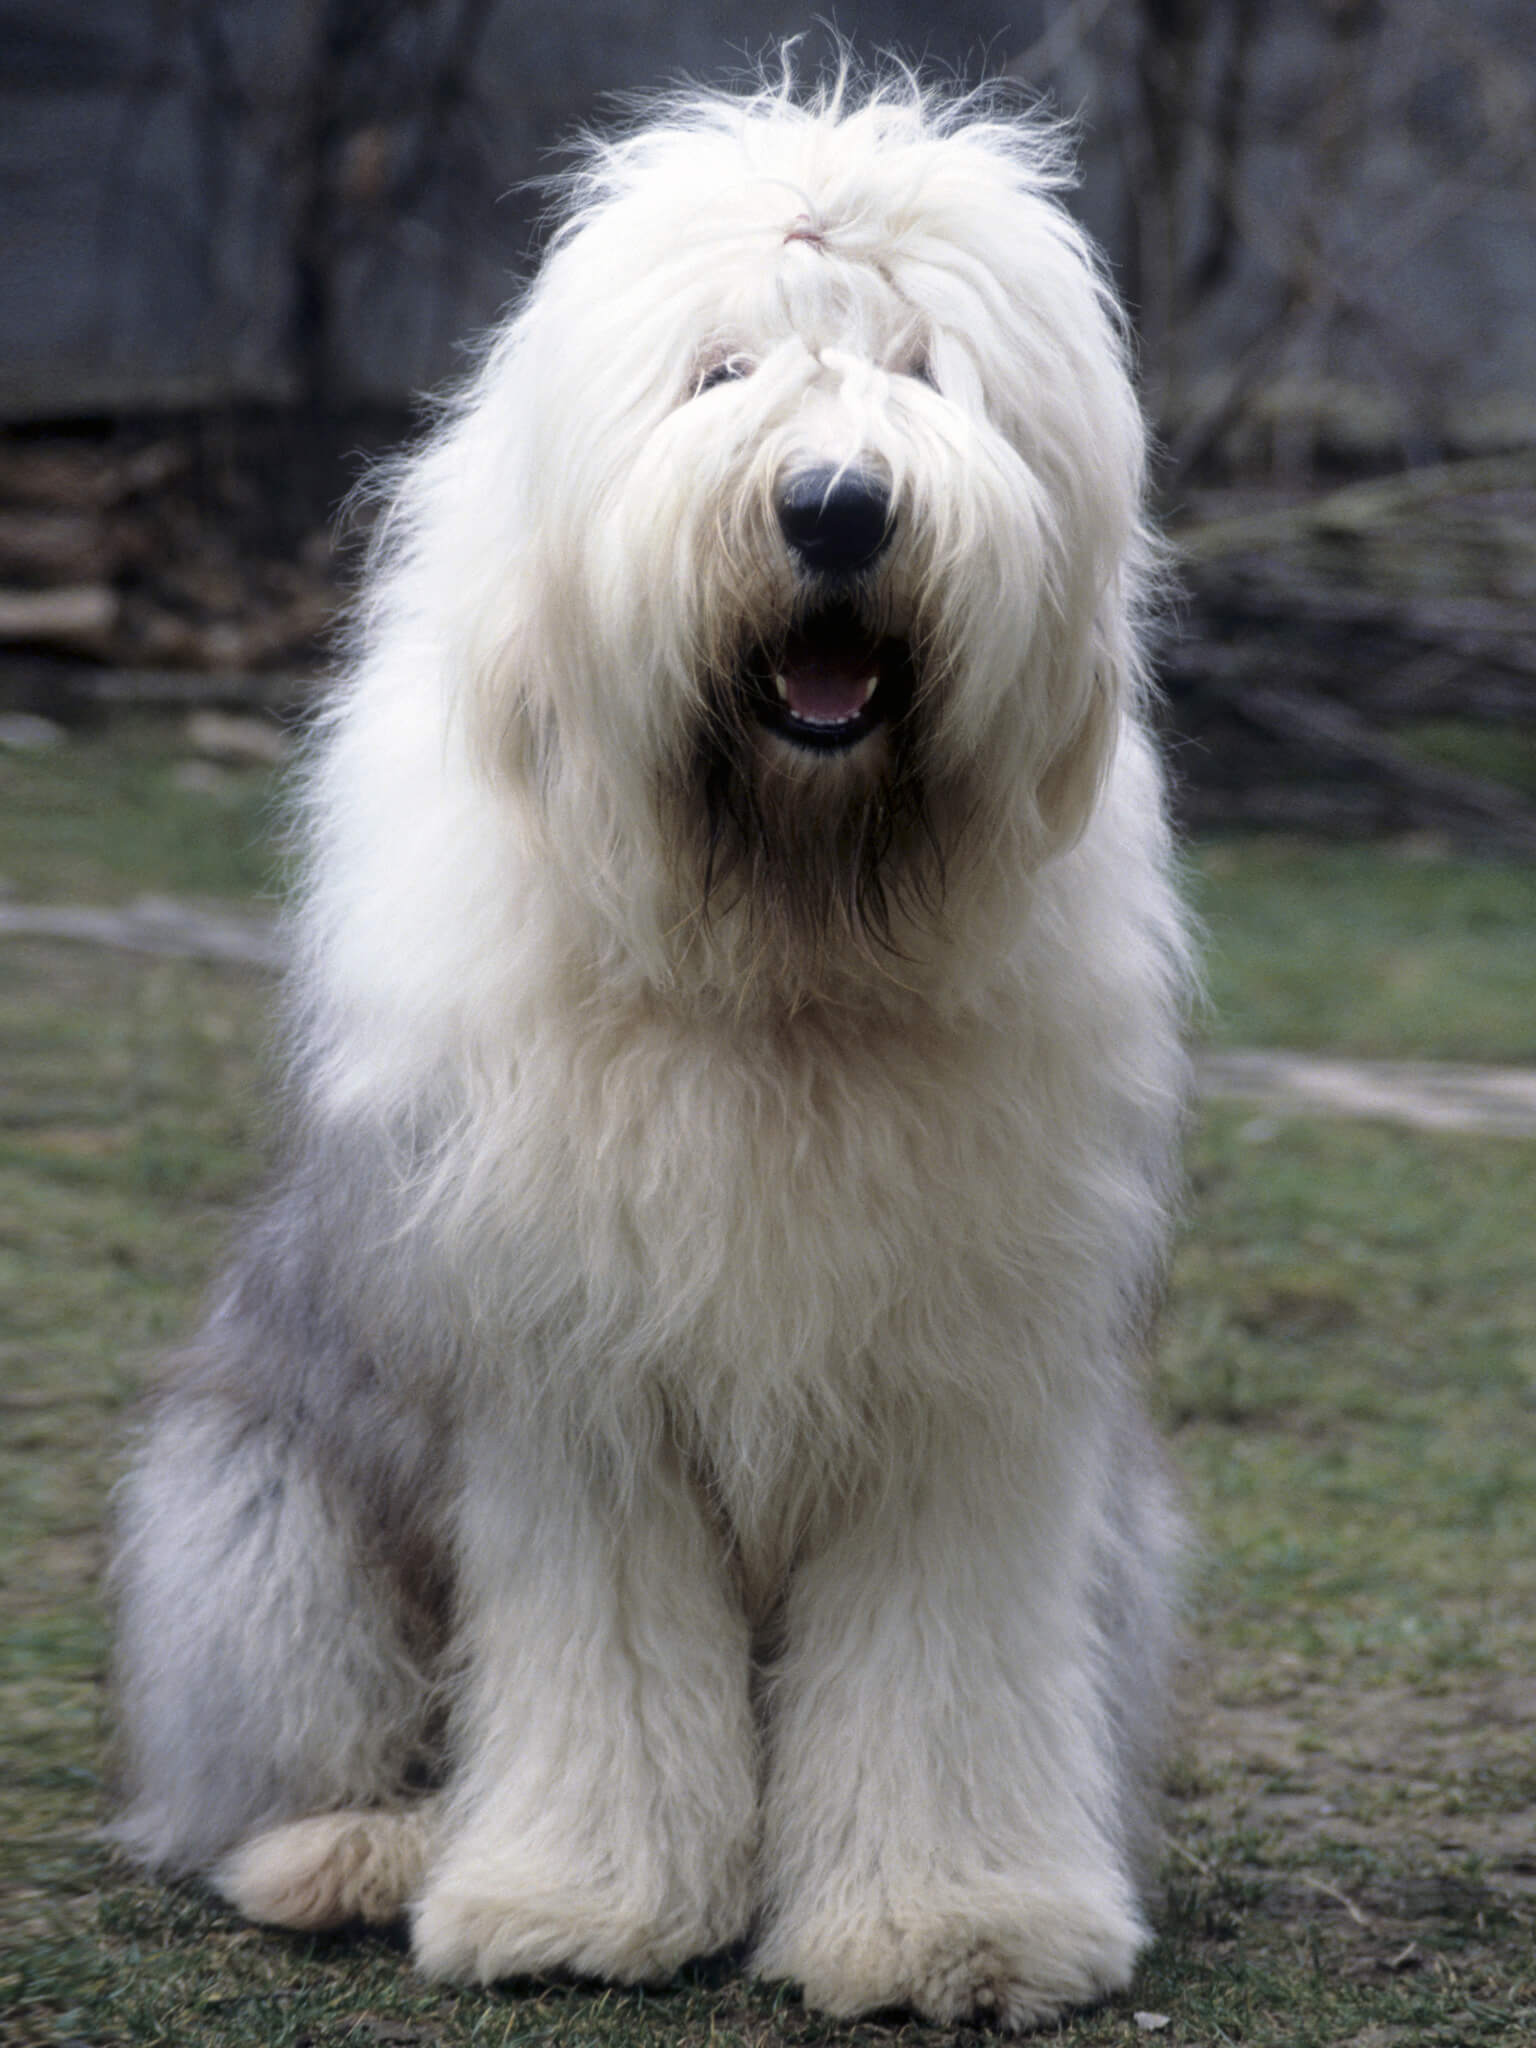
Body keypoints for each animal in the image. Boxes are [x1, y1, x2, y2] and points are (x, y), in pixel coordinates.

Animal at [114, 68, 1196, 2031]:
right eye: (719, 372)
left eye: (924, 370)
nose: (837, 507)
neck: (776, 954)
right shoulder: (572, 1383)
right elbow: (600, 1655)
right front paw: (574, 1901)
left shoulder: (968, 1402)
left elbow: (937, 1667)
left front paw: (955, 1920)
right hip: (259, 1505)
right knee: (278, 1741)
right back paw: (353, 1850)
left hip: (1125, 1554)